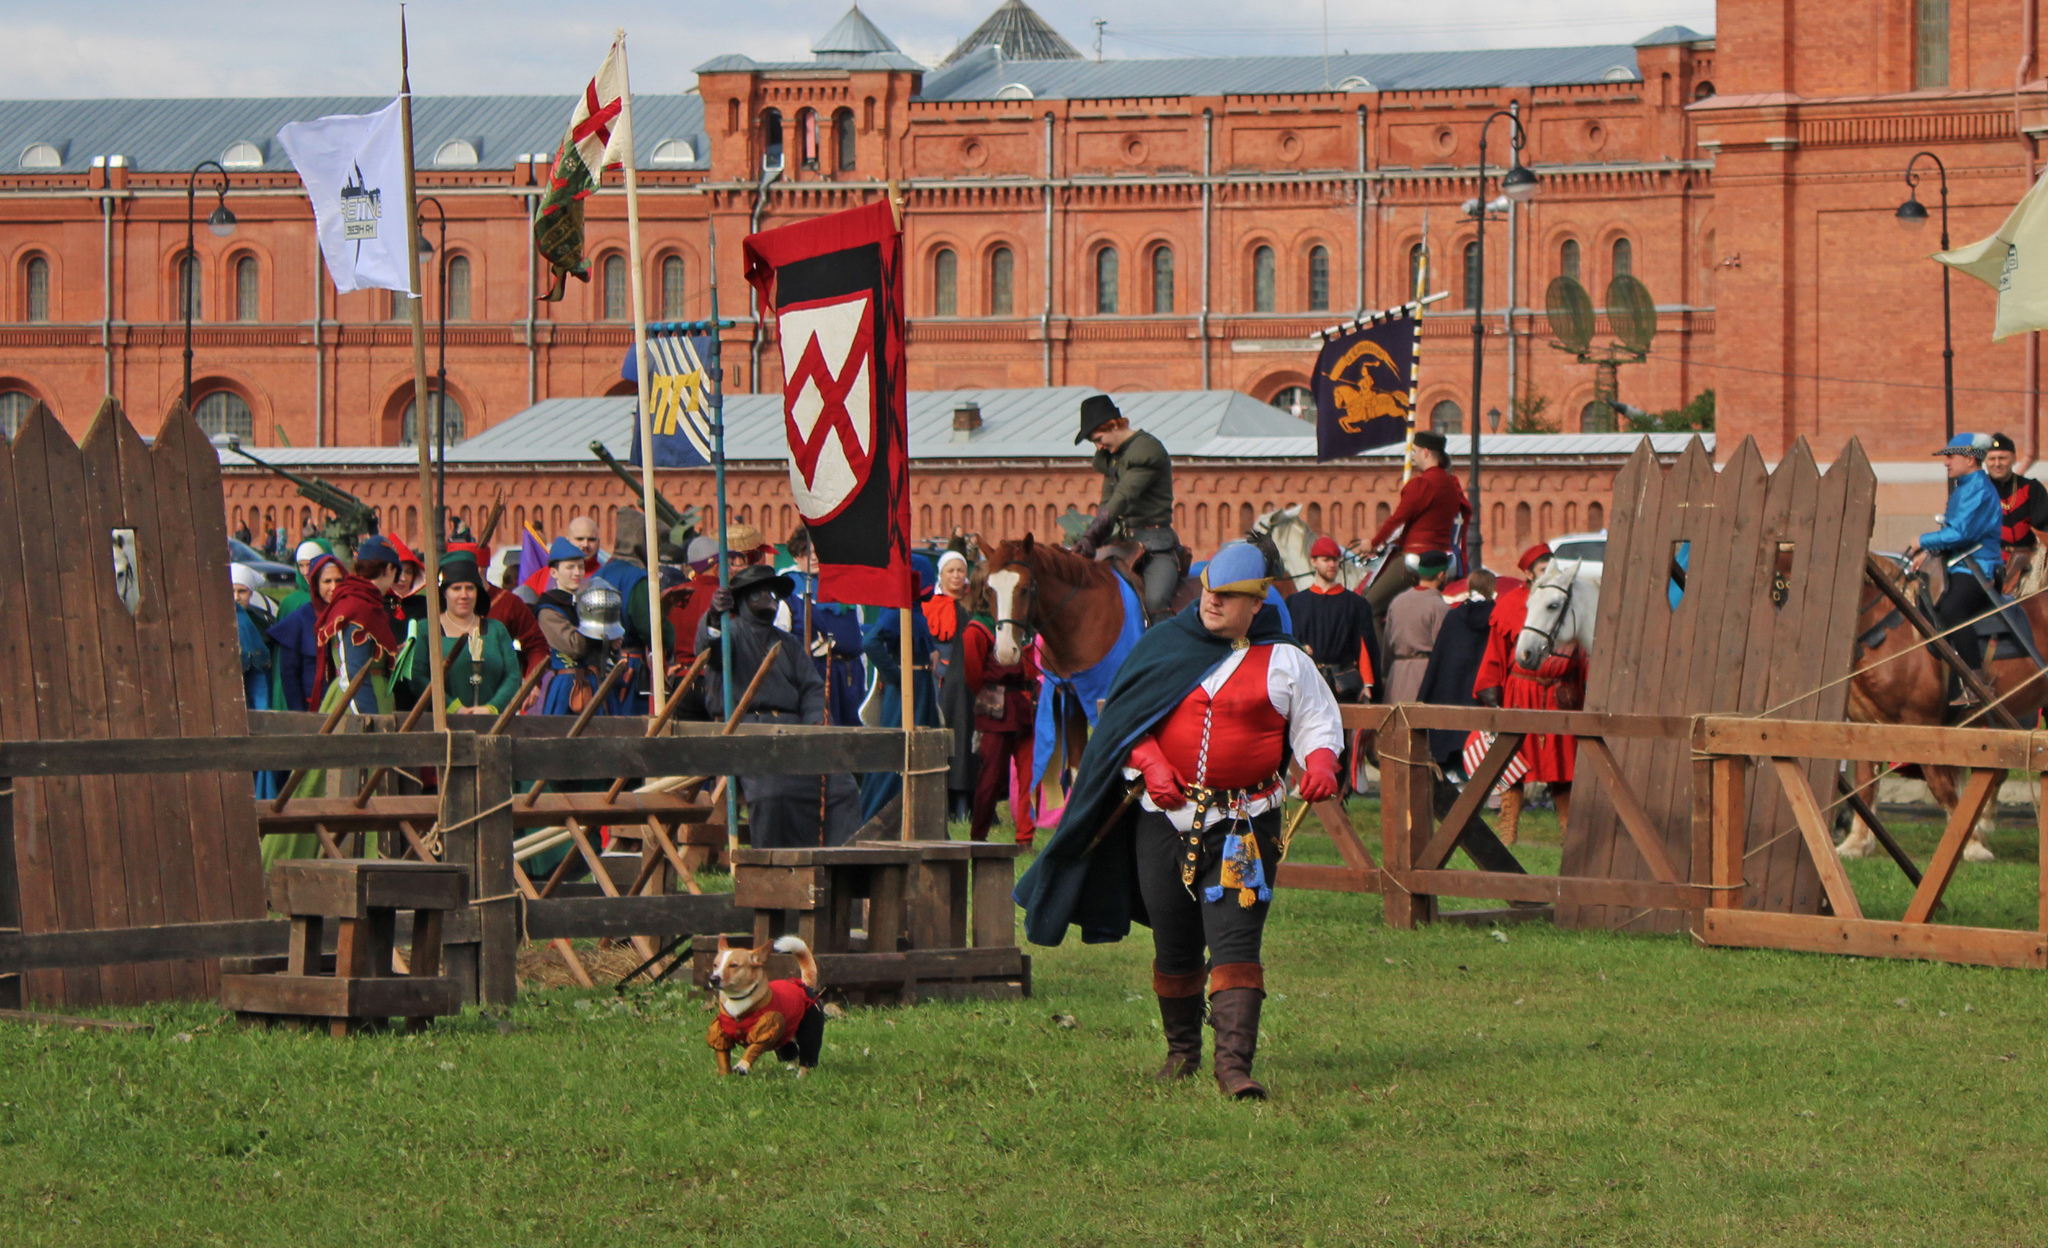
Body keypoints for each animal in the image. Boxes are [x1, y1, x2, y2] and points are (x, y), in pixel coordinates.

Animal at [712, 934, 823, 1073]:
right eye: (715, 965)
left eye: (733, 965)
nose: (713, 979)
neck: (738, 1001)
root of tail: (804, 984)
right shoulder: (721, 1035)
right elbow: (722, 1053)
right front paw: (724, 1073)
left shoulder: (764, 1034)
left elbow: (752, 1049)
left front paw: (742, 1066)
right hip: (785, 1036)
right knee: (792, 1052)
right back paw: (791, 1068)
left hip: (809, 1031)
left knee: (807, 1053)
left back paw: (802, 1073)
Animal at [1843, 553, 2048, 856]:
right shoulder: (1866, 725)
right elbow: (1864, 787)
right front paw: (1855, 843)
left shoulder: (1923, 723)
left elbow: (1942, 786)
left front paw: (1972, 844)